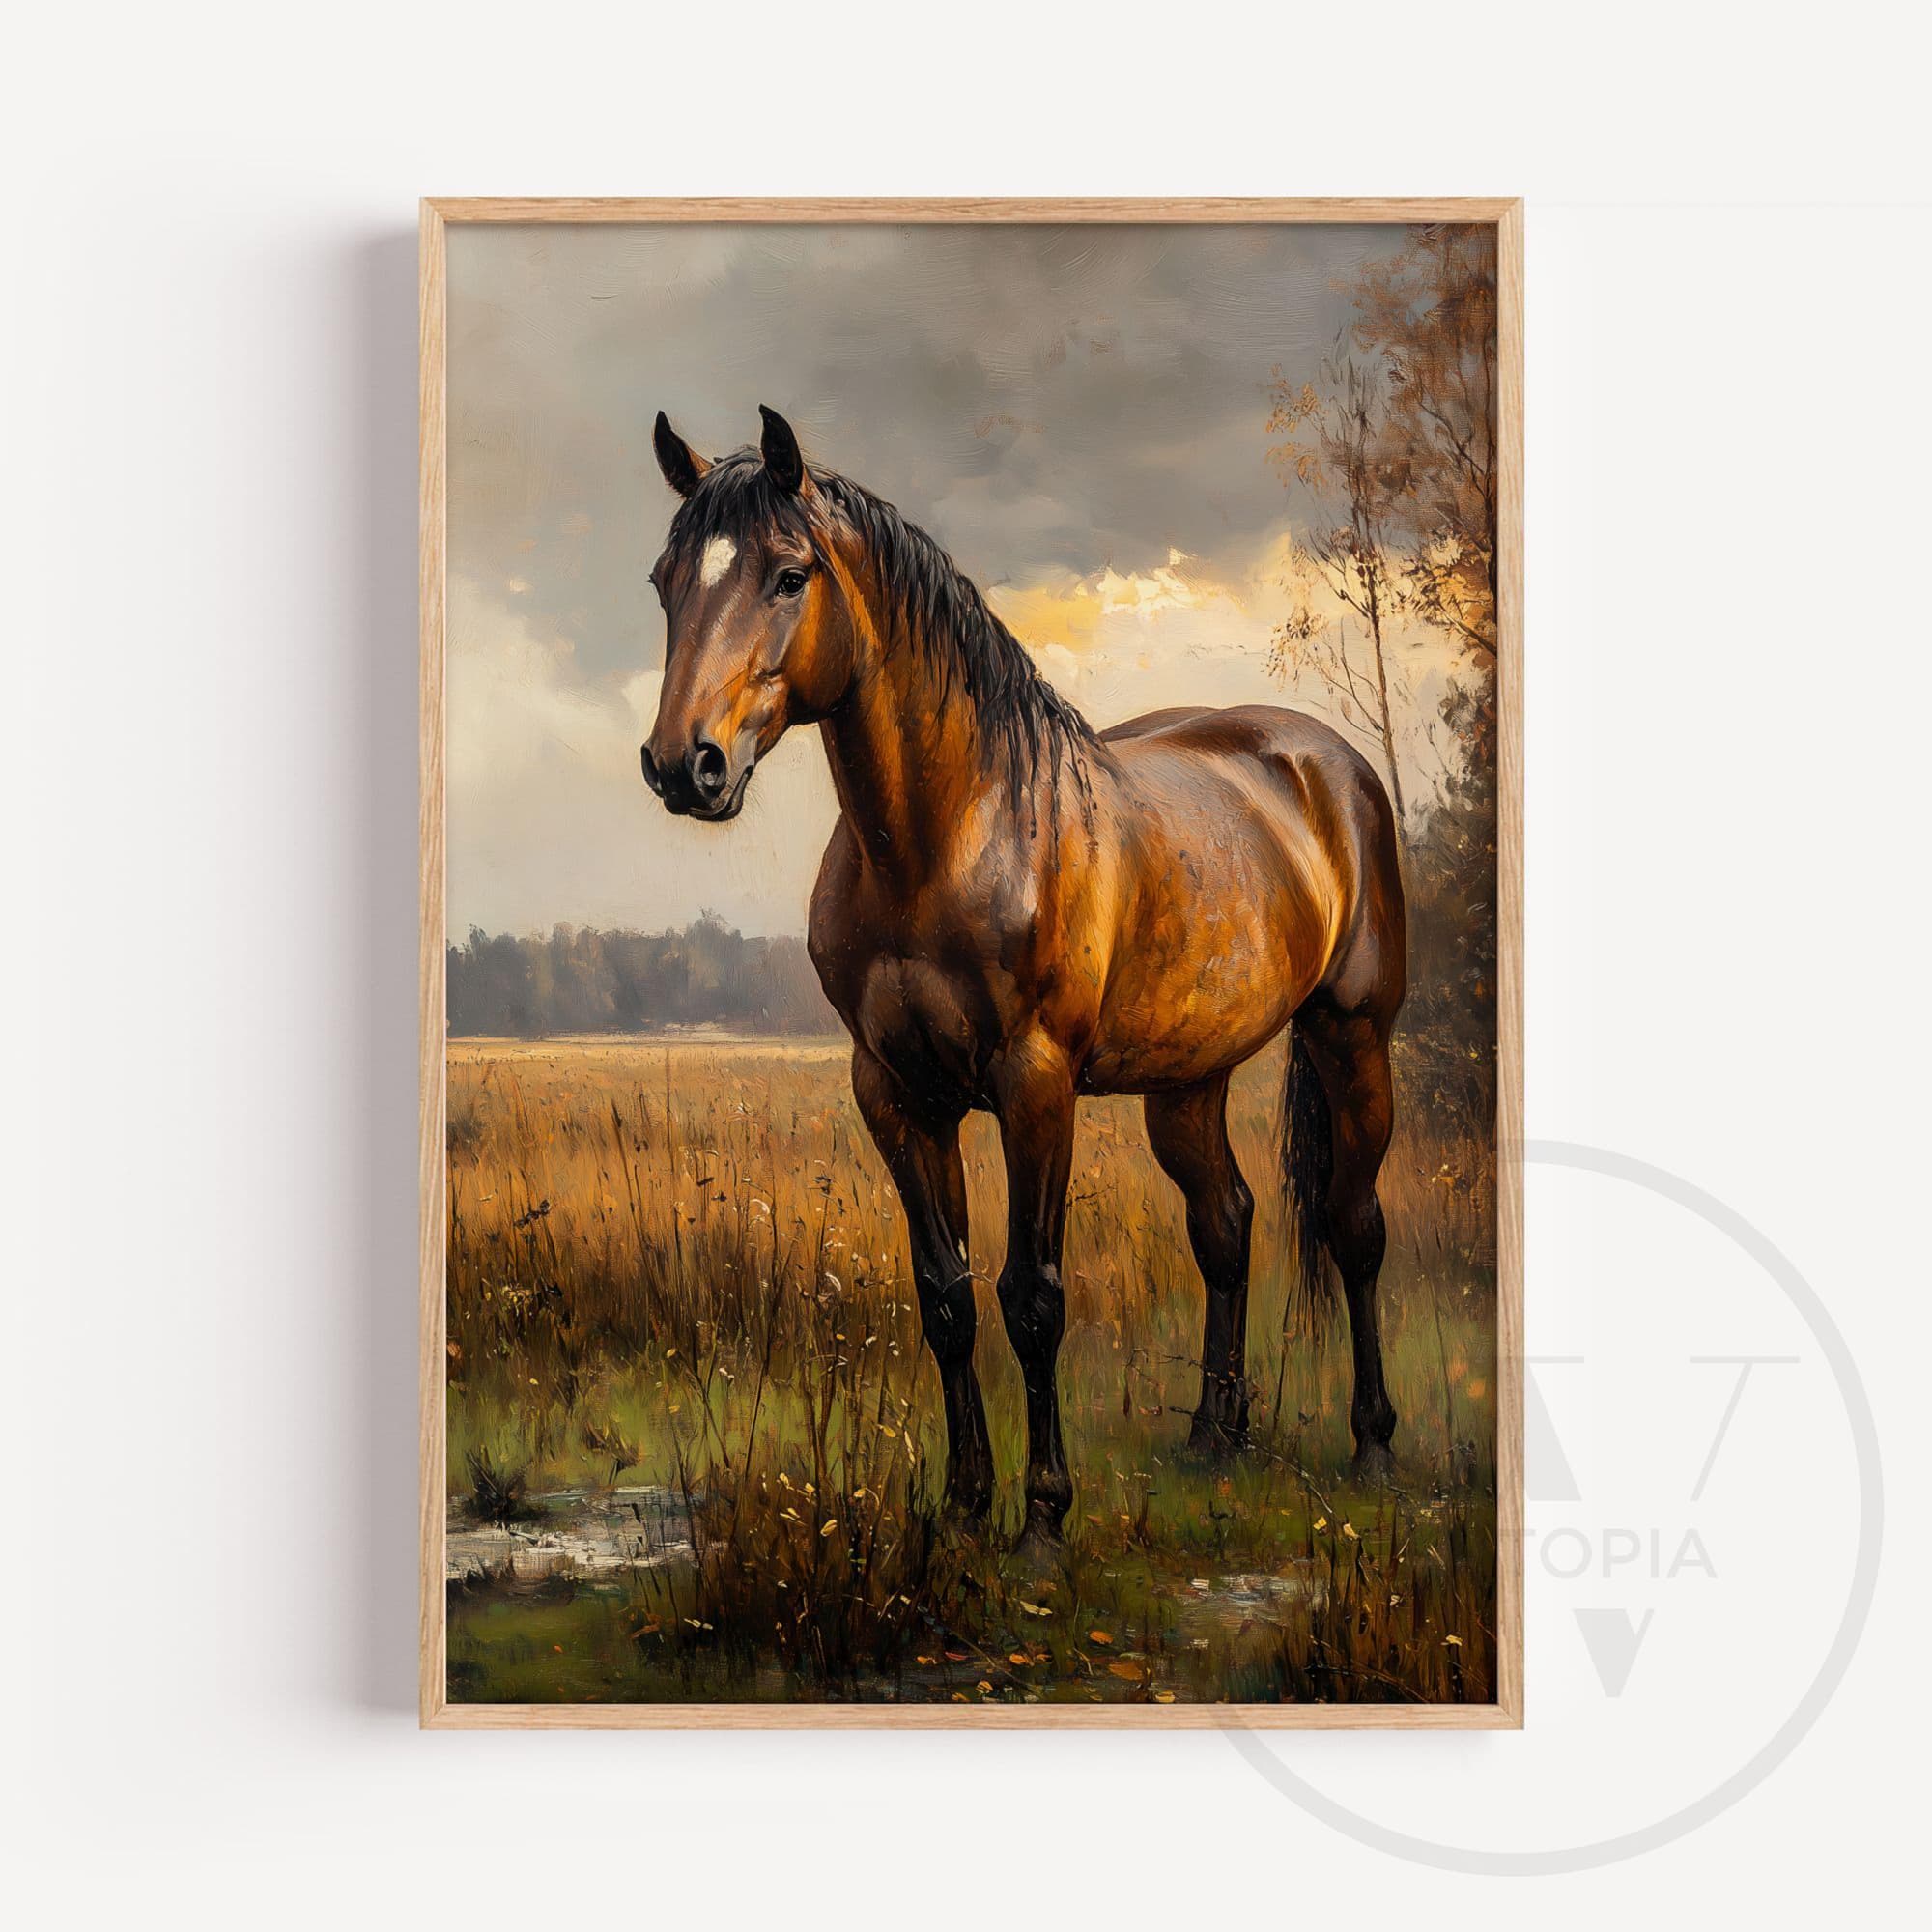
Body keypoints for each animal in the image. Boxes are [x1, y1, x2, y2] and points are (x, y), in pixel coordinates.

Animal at [640, 406, 1407, 1546]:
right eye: (664, 580)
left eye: (788, 575)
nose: (684, 765)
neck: (948, 837)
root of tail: (1327, 764)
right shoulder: (895, 1094)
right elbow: (946, 1296)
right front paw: (963, 1501)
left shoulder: (1035, 1086)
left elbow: (1032, 1298)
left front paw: (1043, 1515)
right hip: (1189, 1078)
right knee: (1224, 1224)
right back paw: (1214, 1436)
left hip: (1350, 1037)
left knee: (1354, 1228)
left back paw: (1371, 1444)